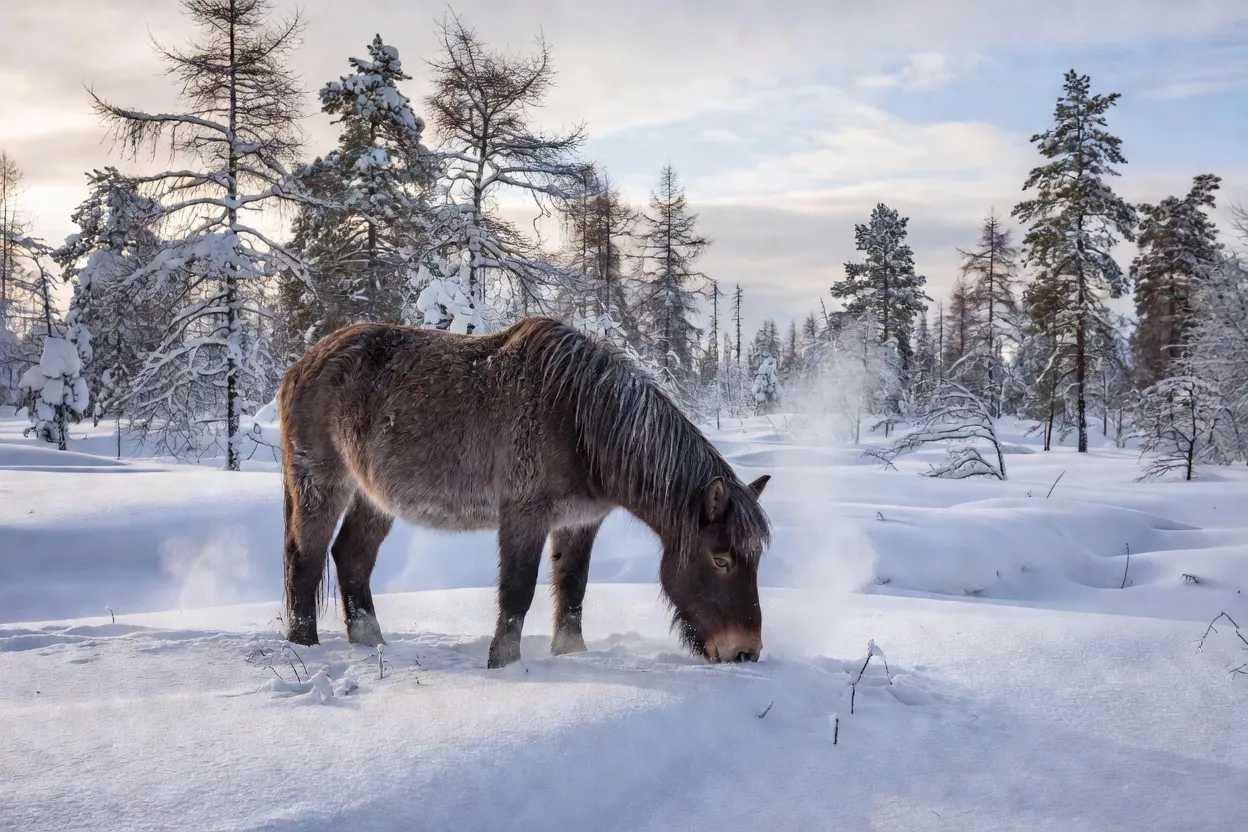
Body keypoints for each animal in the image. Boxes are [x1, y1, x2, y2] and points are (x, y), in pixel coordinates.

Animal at [277, 316, 772, 668]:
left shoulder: (580, 523)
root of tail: (300, 366)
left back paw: (371, 646)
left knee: (351, 558)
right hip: (322, 483)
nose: (745, 652)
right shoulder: (525, 515)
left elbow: (572, 592)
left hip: (373, 497)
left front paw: (572, 657)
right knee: (306, 558)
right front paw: (504, 665)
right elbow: (518, 592)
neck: (579, 419)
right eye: (721, 559)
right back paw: (305, 648)